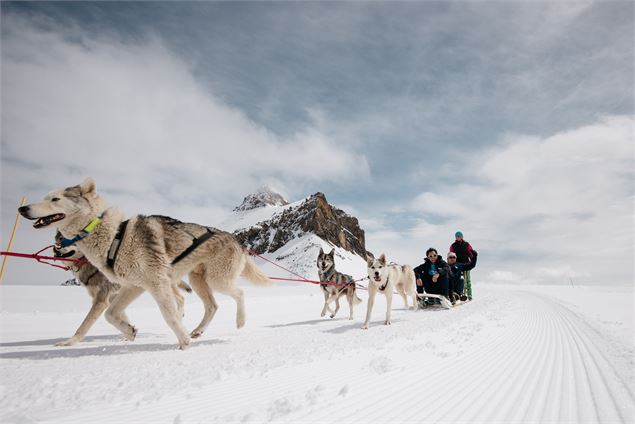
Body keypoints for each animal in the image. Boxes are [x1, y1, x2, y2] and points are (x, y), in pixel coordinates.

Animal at [52, 234, 193, 346]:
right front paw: (130, 333)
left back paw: (179, 316)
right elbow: (120, 317)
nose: (55, 247)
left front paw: (68, 342)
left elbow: (84, 326)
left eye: (68, 239)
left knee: (181, 298)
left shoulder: (101, 300)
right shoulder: (112, 297)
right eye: (58, 237)